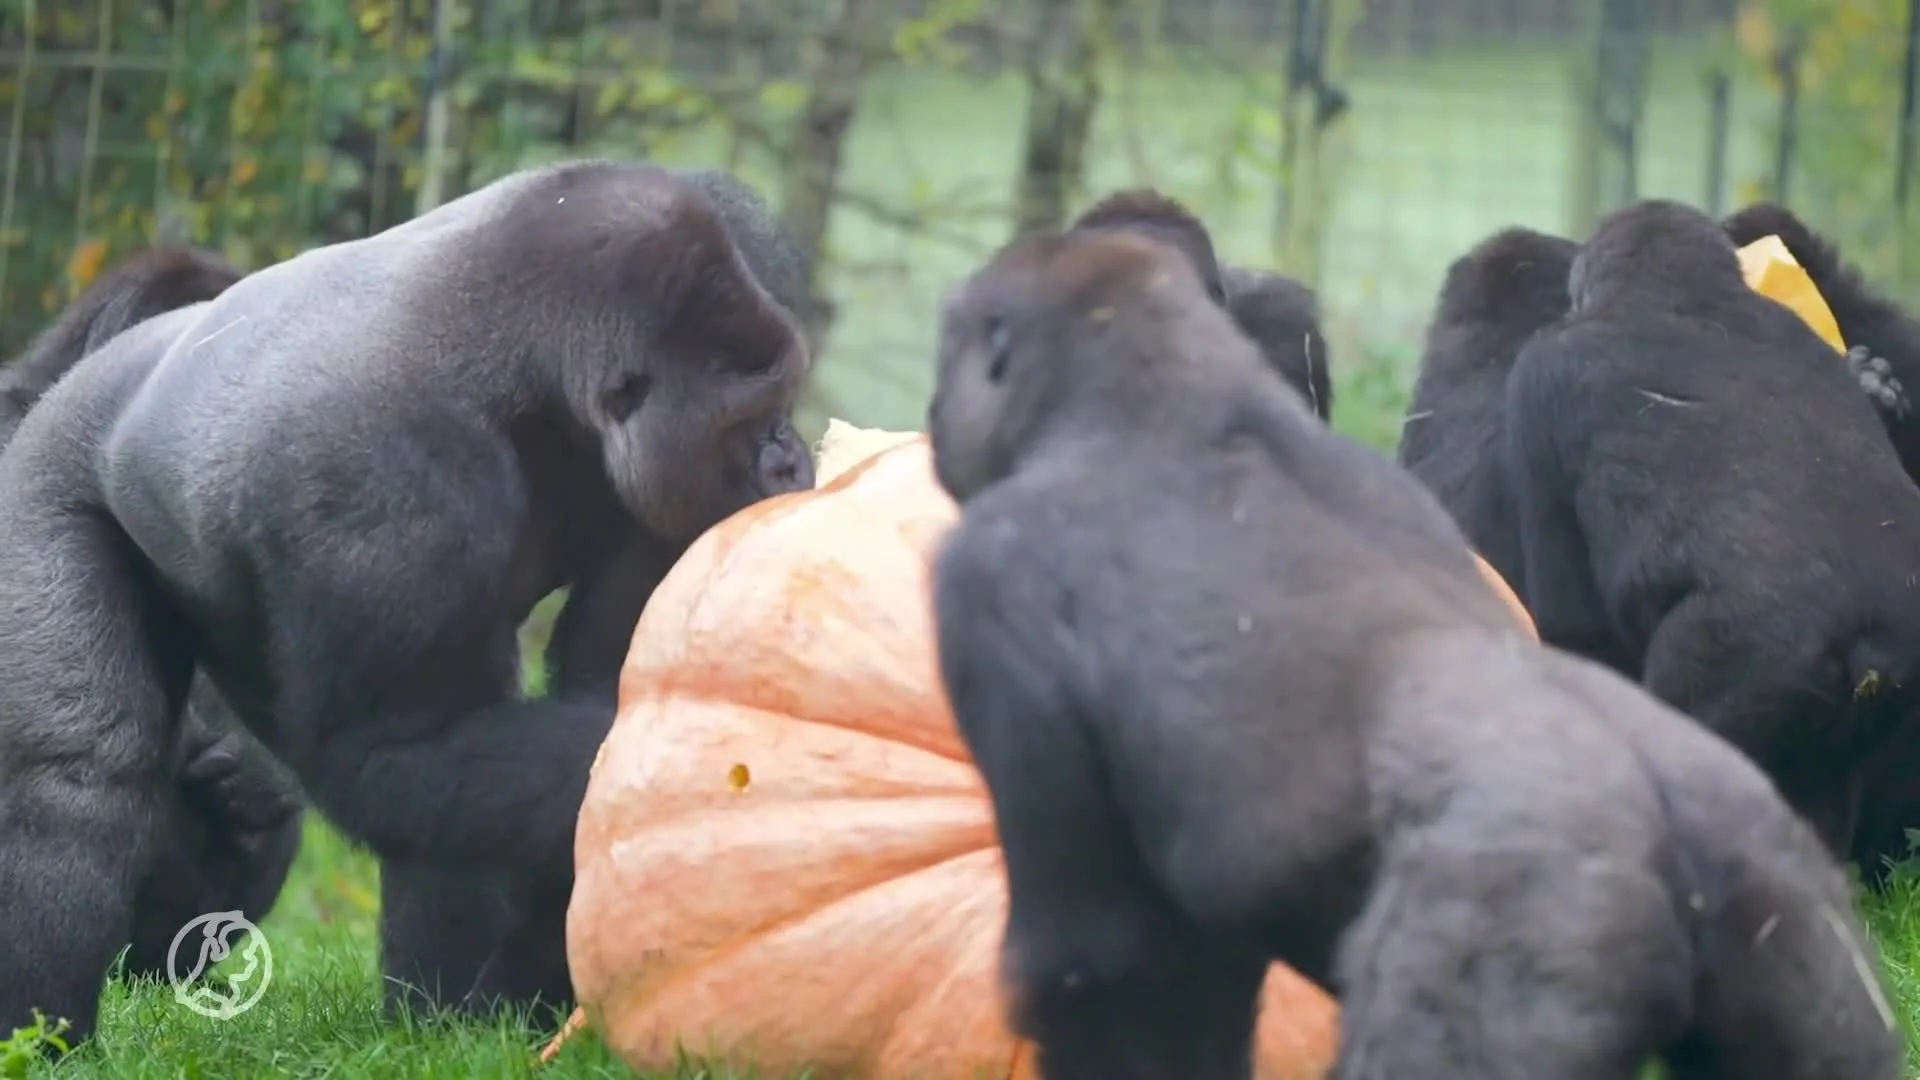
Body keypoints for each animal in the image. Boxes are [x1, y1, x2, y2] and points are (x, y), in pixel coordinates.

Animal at [0, 159, 815, 1047]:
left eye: (784, 399)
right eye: (746, 420)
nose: (791, 457)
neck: (528, 362)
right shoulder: (384, 484)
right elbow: (393, 751)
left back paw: (450, 1017)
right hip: (43, 468)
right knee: (82, 773)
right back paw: (41, 1035)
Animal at [1505, 198, 1920, 878]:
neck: (1679, 294)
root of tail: (1865, 640)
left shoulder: (1537, 381)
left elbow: (1575, 623)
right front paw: (1869, 385)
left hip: (1743, 666)